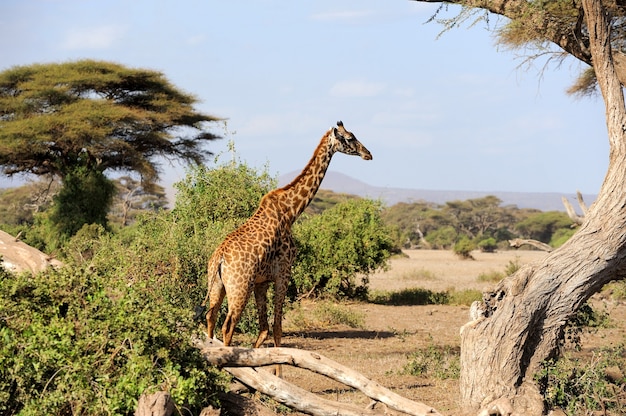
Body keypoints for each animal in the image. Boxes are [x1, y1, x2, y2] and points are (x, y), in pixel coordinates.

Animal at [199, 120, 370, 354]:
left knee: (211, 317)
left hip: (217, 285)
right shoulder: (284, 272)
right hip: (239, 287)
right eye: (350, 137)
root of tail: (220, 258)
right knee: (228, 325)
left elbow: (264, 329)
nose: (368, 154)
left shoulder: (261, 281)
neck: (291, 211)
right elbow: (277, 327)